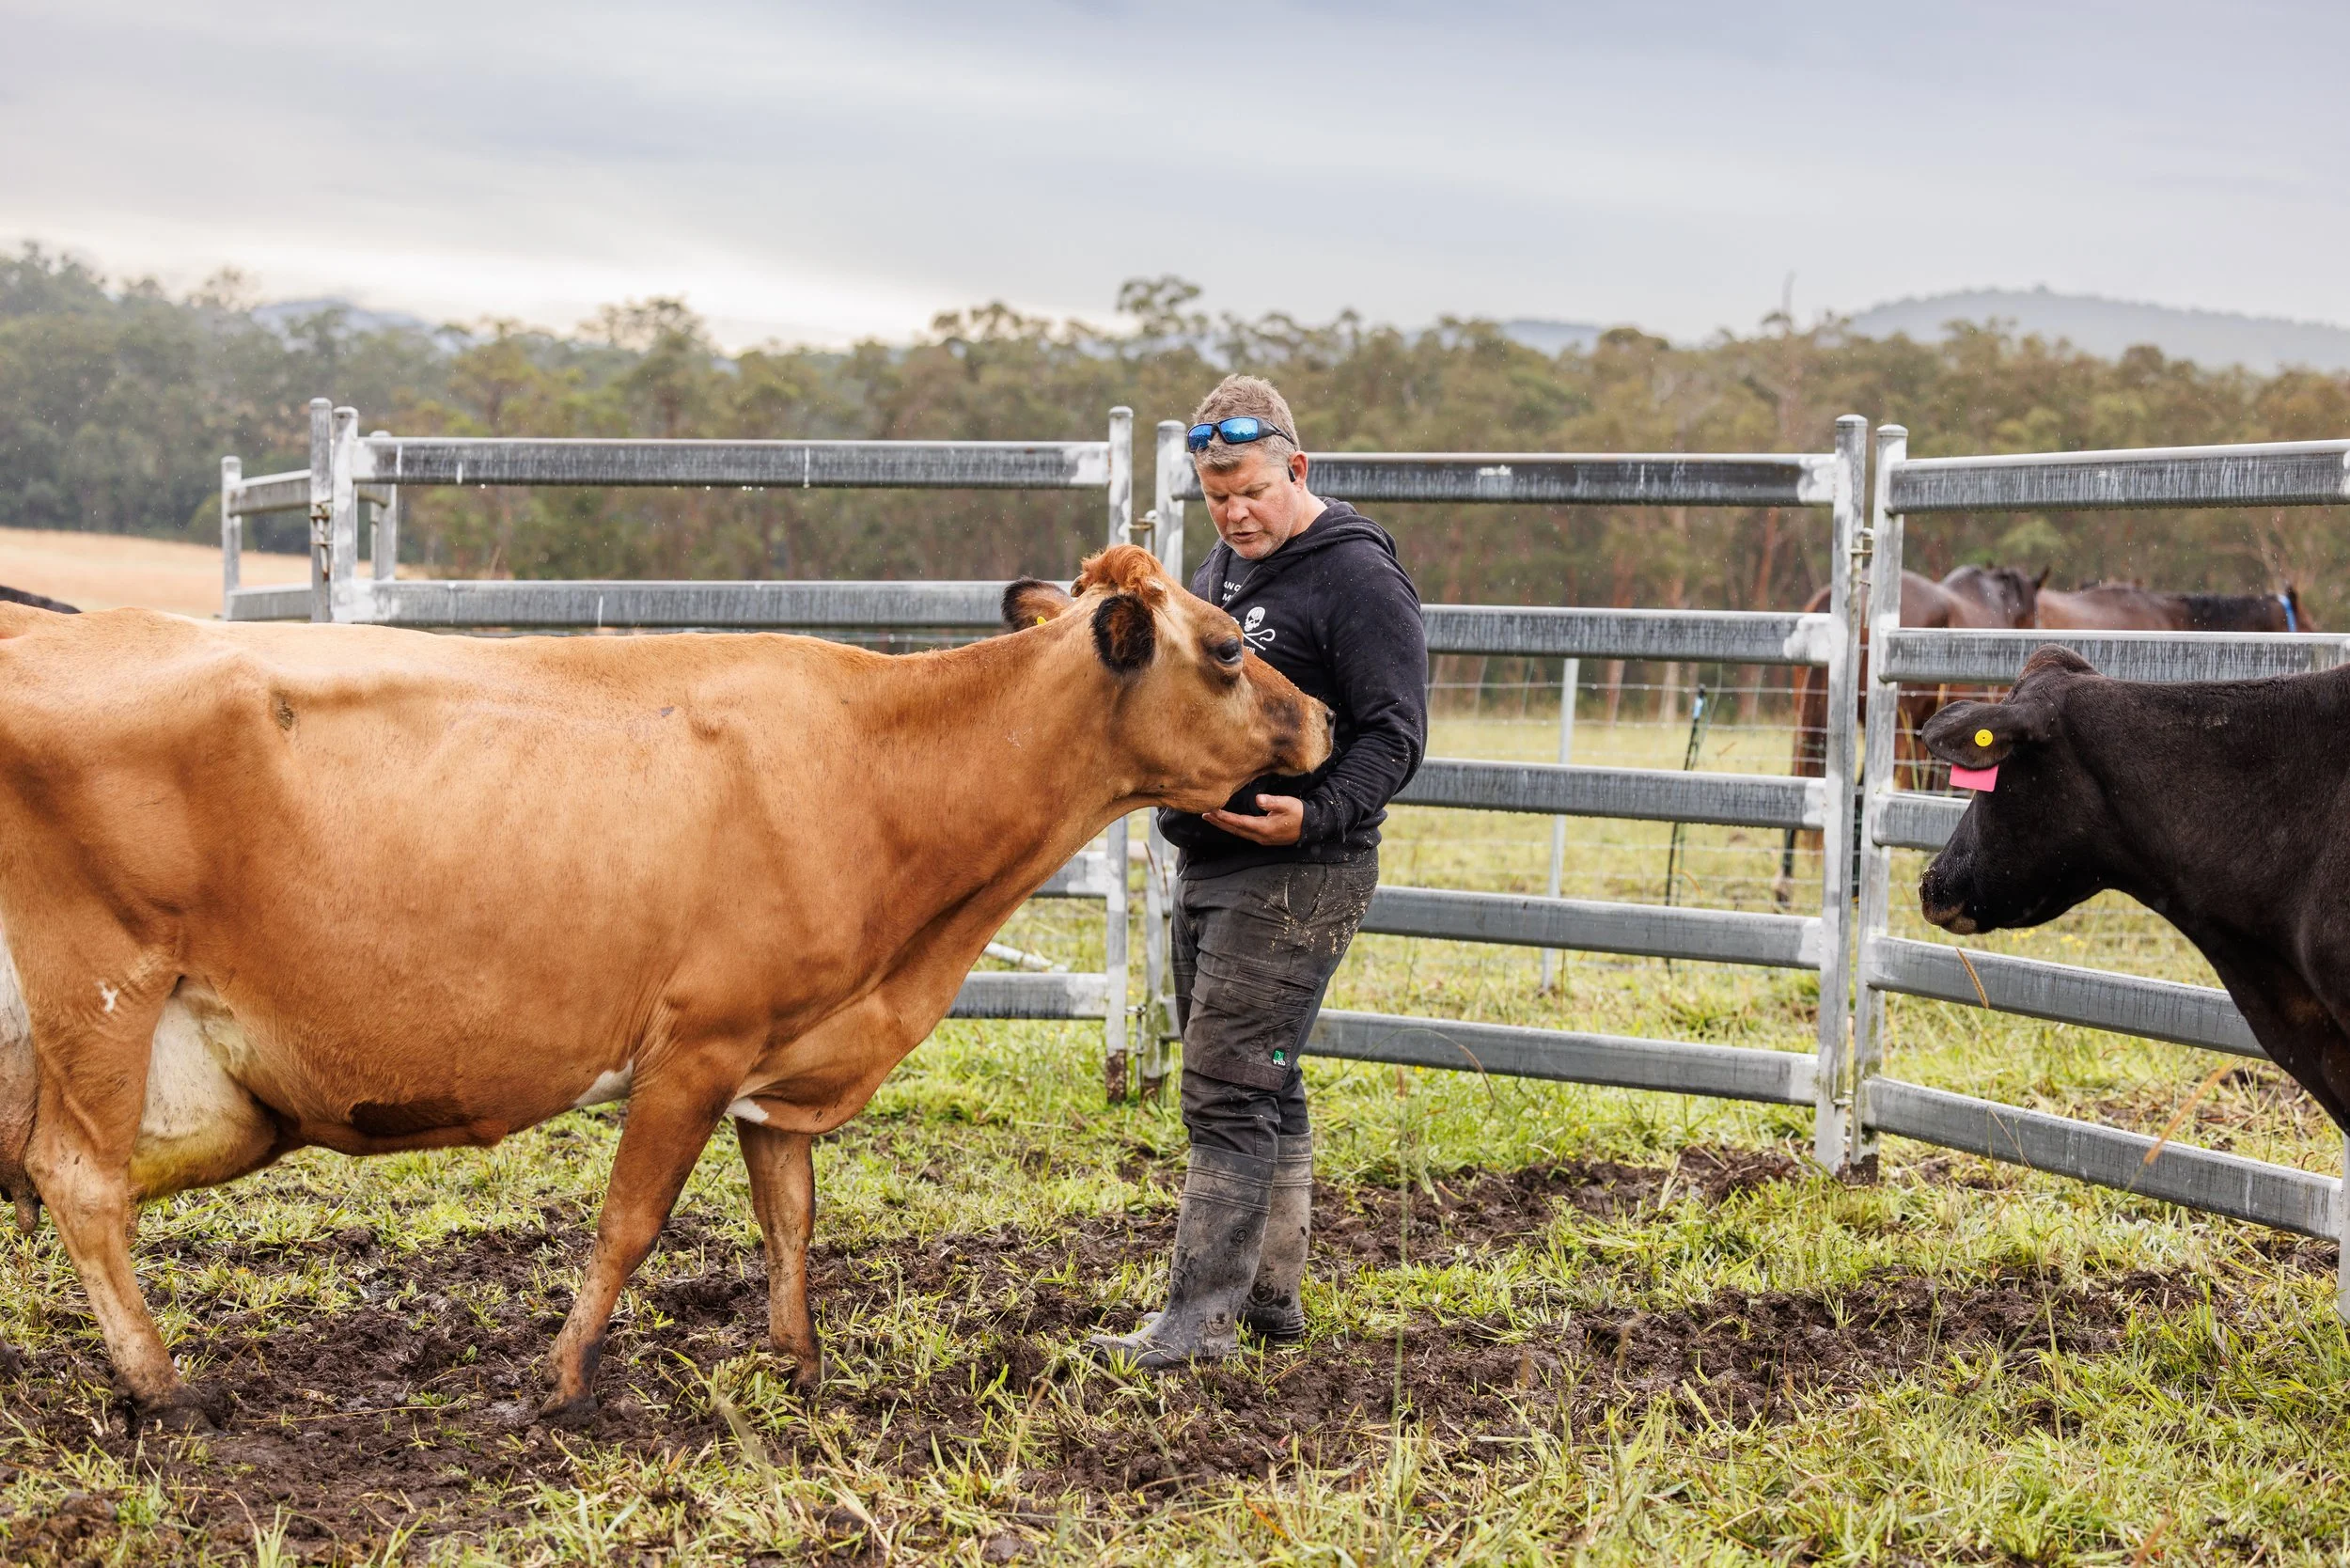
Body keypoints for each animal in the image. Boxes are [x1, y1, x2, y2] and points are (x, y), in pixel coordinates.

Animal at [0, 544, 1330, 1431]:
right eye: (1229, 648)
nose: (1321, 721)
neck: (879, 769)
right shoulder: (697, 1042)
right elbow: (629, 1224)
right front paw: (558, 1386)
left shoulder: (780, 1059)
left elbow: (791, 1220)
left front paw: (800, 1370)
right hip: (106, 991)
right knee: (82, 1179)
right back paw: (164, 1387)